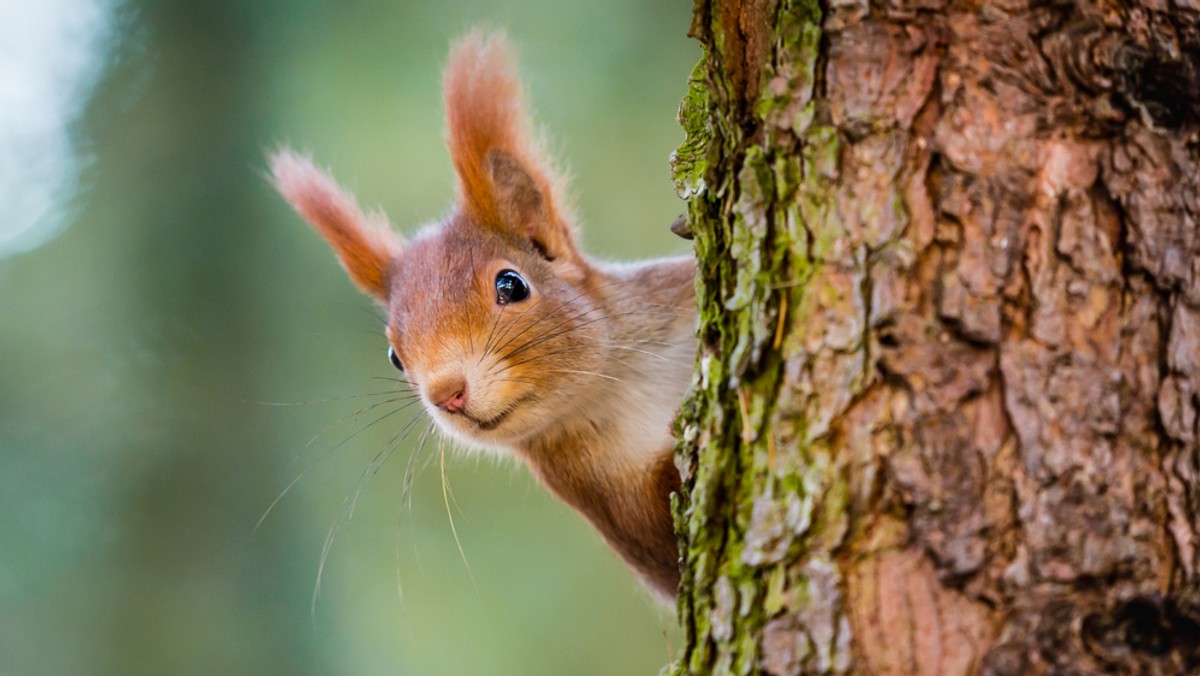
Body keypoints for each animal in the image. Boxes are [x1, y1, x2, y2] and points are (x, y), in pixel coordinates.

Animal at [266, 33, 691, 602]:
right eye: (394, 356)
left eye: (511, 285)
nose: (447, 393)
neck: (618, 387)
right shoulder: (614, 505)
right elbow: (668, 546)